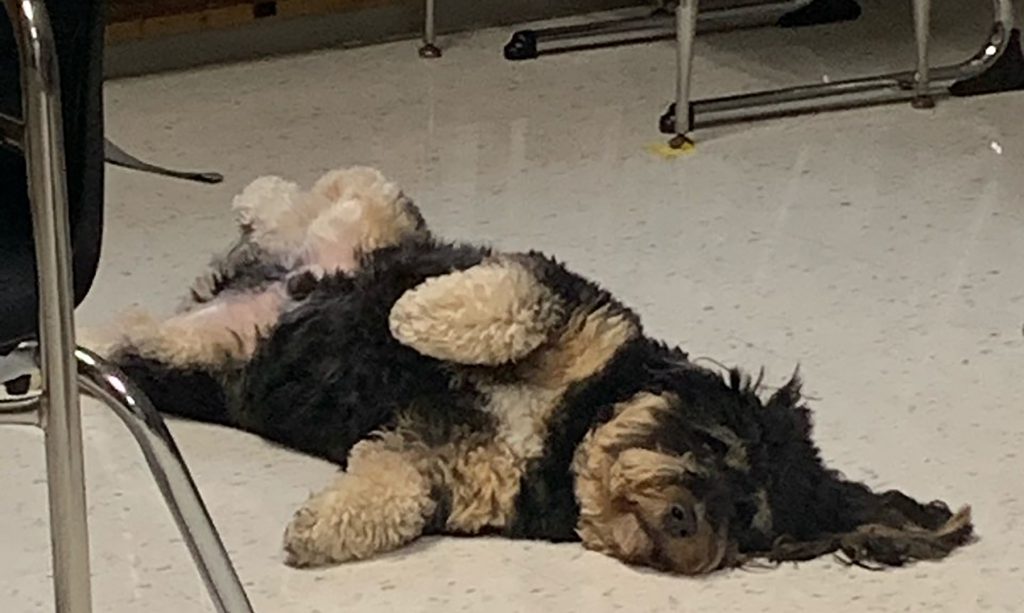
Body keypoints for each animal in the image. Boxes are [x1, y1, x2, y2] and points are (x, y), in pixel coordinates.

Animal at [99, 166, 970, 577]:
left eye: (748, 517)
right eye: (715, 443)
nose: (688, 522)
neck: (565, 428)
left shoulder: (441, 465)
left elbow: (395, 493)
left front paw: (320, 529)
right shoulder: (572, 299)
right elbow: (519, 300)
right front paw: (415, 319)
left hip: (180, 359)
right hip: (369, 234)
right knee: (352, 193)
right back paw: (262, 200)